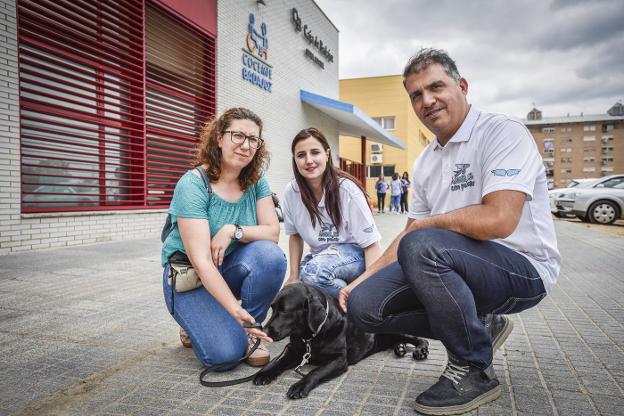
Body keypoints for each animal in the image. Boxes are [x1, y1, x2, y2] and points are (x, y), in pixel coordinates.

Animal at [251, 284, 426, 398]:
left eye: (285, 311)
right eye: (273, 308)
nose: (264, 331)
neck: (312, 336)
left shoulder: (339, 359)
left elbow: (316, 371)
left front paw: (300, 385)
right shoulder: (293, 349)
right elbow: (278, 360)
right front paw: (265, 373)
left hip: (392, 325)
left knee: (418, 338)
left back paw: (420, 350)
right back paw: (400, 348)